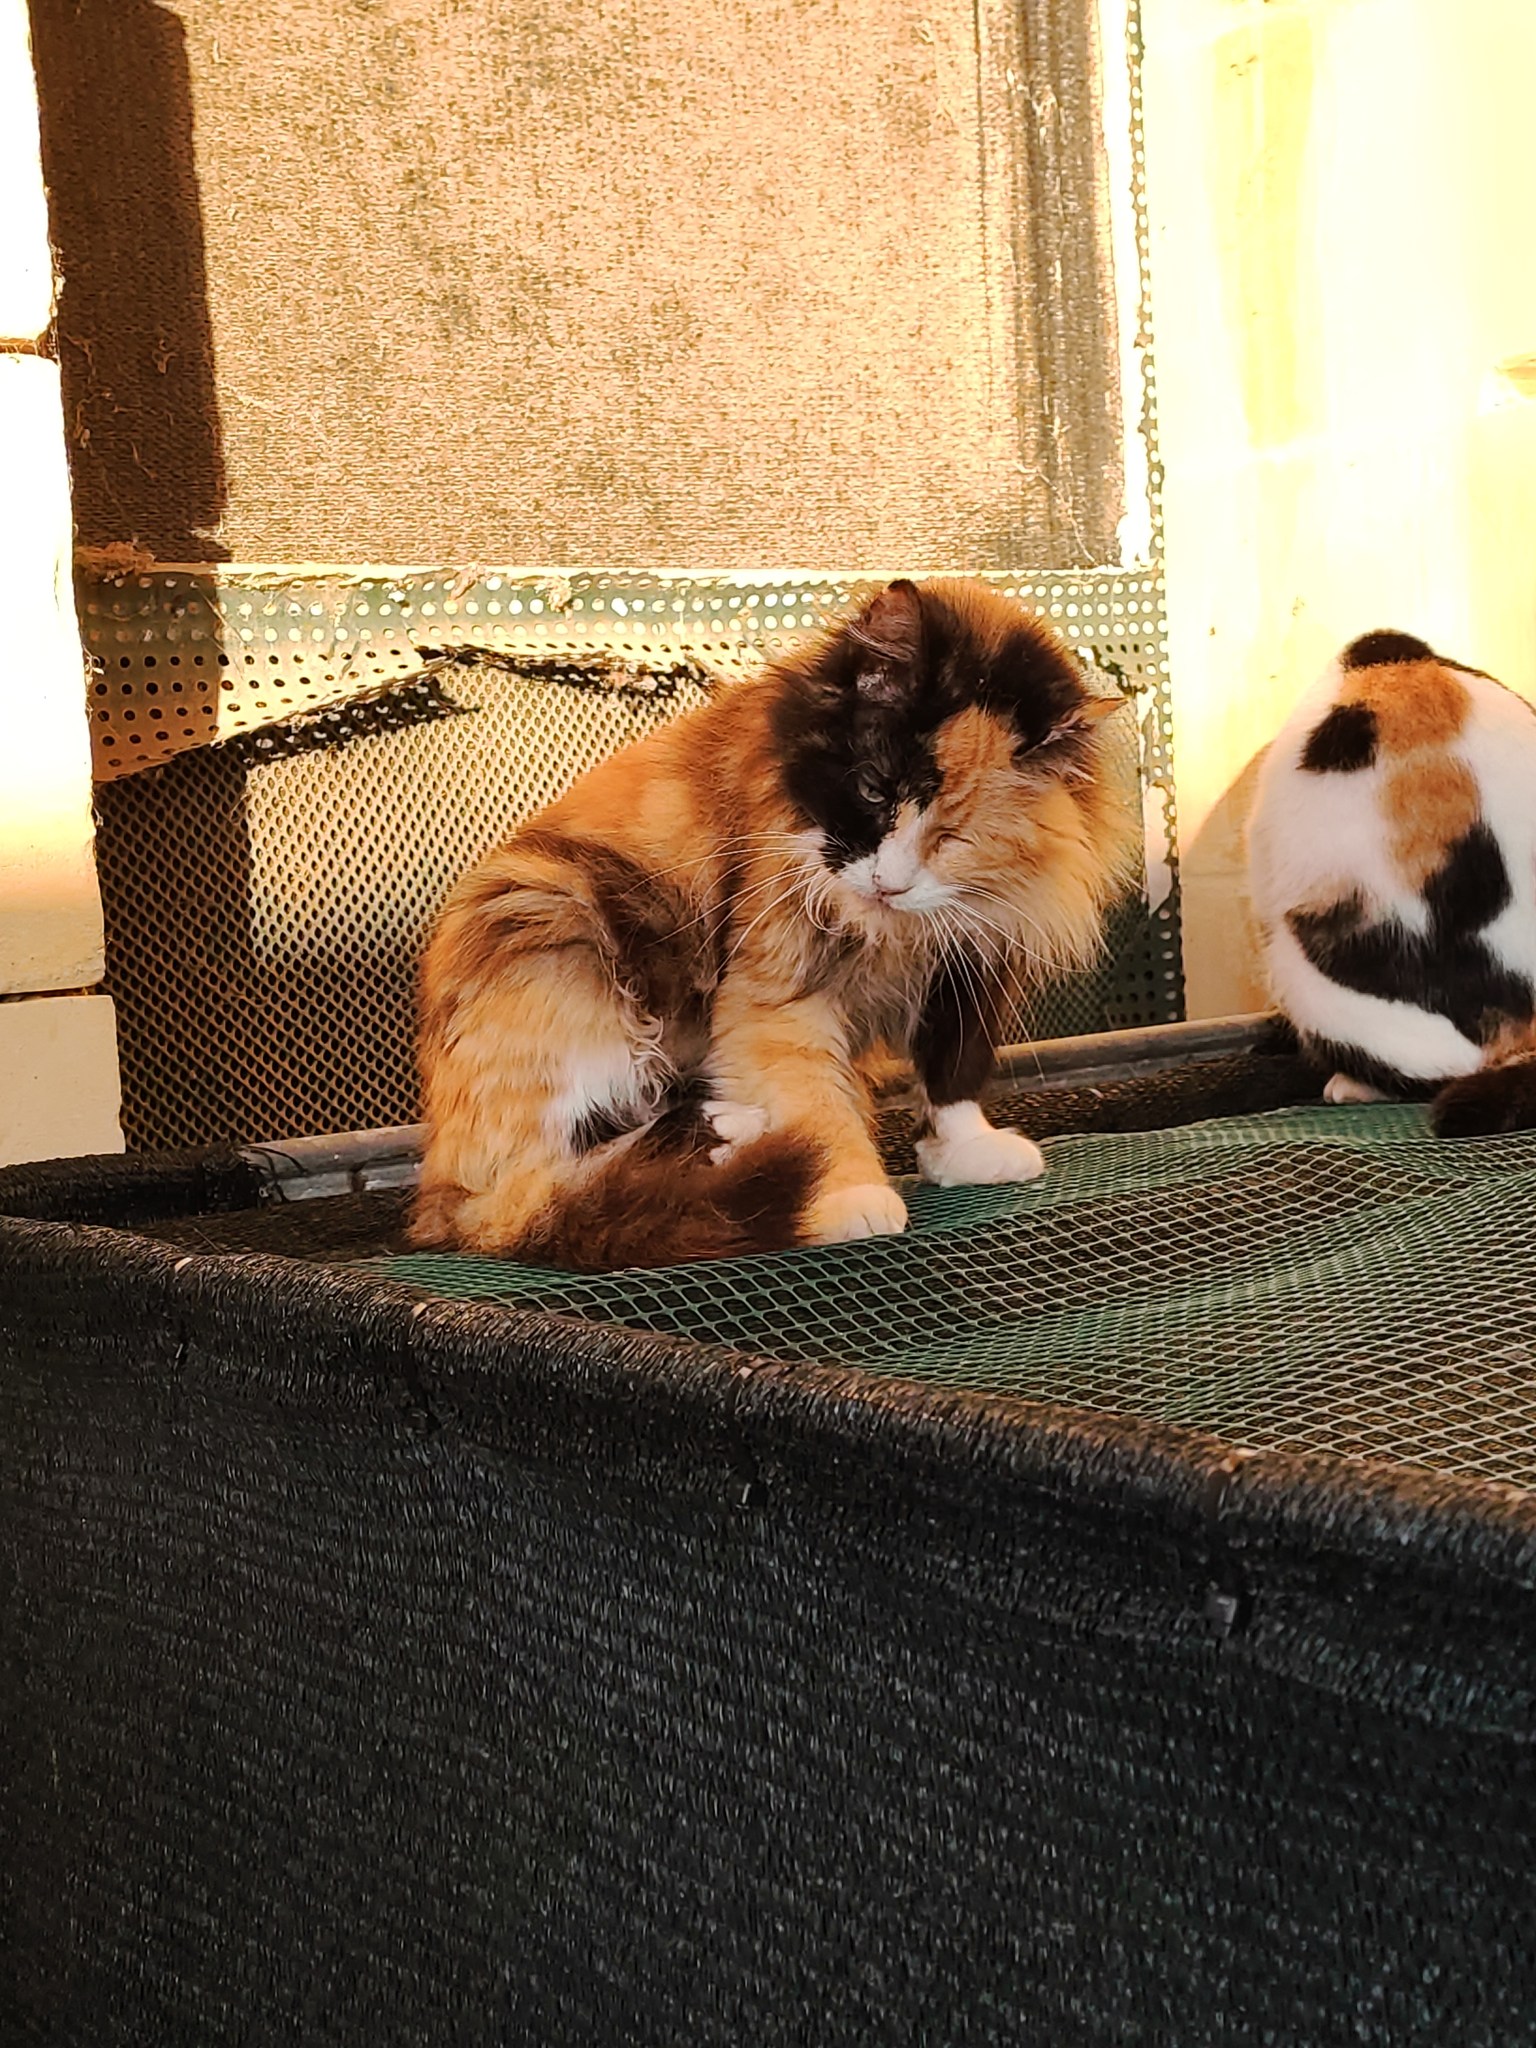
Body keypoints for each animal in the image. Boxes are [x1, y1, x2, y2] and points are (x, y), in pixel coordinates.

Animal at [411, 576, 1135, 1270]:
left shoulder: (968, 963)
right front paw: (847, 1196)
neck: (893, 934)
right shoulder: (778, 984)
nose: (888, 883)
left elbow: (953, 1073)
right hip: (559, 941)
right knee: (558, 1170)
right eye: (873, 791)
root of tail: (446, 1198)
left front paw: (965, 1154)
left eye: (953, 835)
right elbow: (813, 1098)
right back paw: (736, 1138)